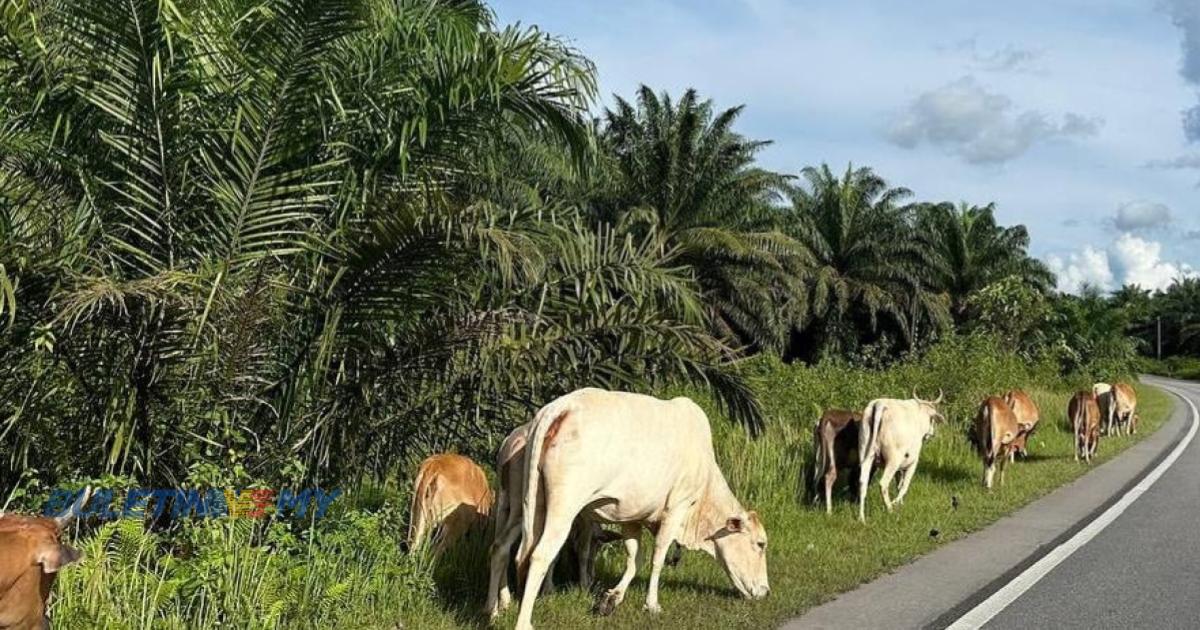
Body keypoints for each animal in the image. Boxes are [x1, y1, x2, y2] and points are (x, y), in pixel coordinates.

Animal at [513, 388, 768, 628]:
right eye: (760, 544)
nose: (766, 591)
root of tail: (562, 406)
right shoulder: (676, 507)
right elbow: (657, 557)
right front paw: (652, 604)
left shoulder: (630, 517)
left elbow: (635, 558)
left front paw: (611, 598)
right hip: (565, 505)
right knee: (541, 554)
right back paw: (524, 622)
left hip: (537, 503)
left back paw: (547, 593)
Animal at [854, 388, 945, 520]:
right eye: (932, 419)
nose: (931, 433)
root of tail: (879, 404)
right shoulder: (912, 462)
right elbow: (904, 485)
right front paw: (896, 503)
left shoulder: (900, 467)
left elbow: (899, 484)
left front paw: (900, 503)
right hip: (893, 460)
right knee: (883, 483)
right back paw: (890, 509)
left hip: (866, 455)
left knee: (862, 483)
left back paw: (861, 517)